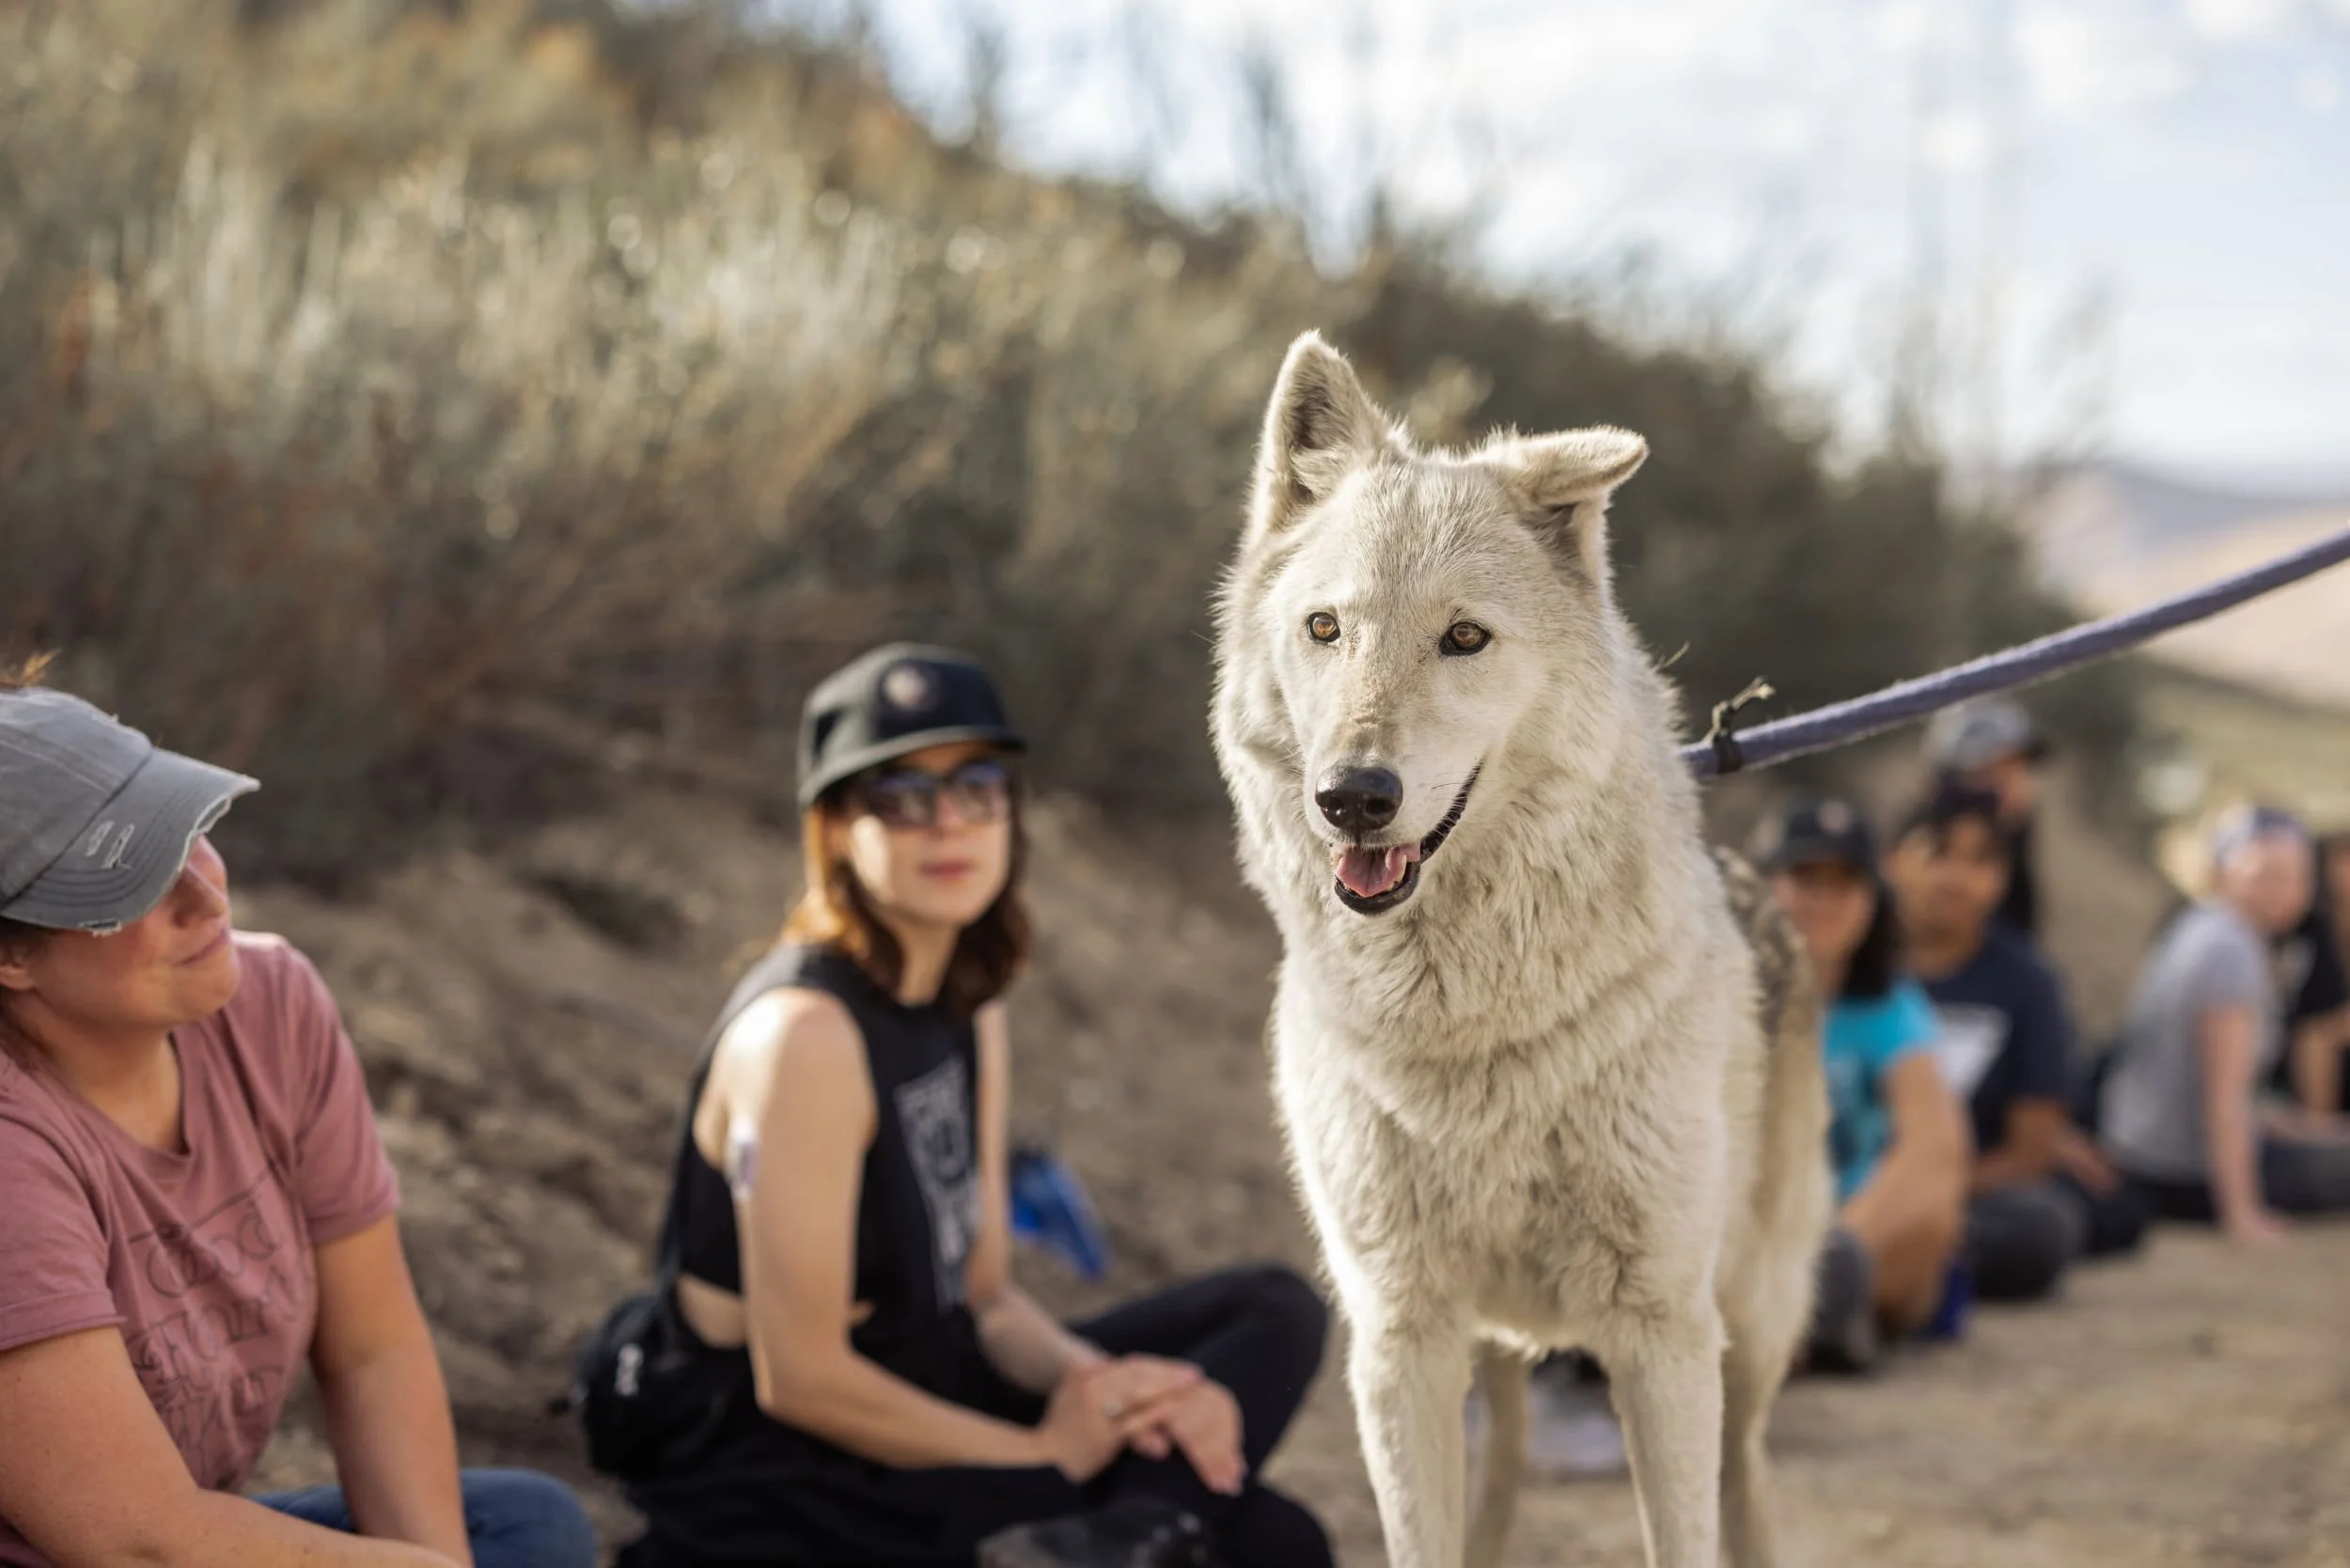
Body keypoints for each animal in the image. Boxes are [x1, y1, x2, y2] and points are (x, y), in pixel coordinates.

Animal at [1209, 331, 1832, 1568]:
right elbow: (1420, 1542)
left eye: (1463, 638)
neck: (1466, 1029)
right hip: (1496, 1365)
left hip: (1747, 1334)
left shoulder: (1660, 1331)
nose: (1353, 799)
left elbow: (1682, 1536)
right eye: (1325, 628)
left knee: (1746, 1486)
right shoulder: (1399, 1337)